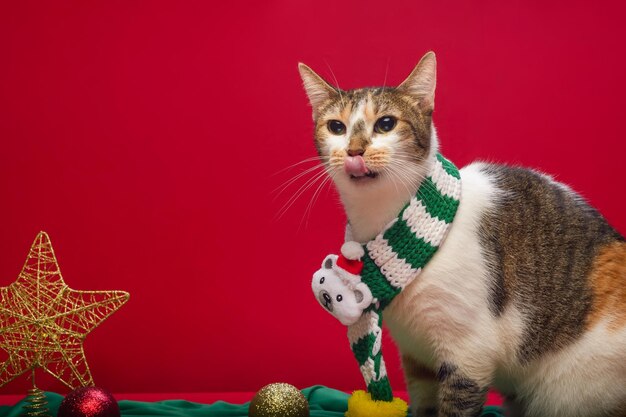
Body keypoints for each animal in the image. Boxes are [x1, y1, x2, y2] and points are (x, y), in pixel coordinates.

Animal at [298, 52, 624, 416]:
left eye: (386, 124)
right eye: (336, 127)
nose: (354, 150)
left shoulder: (469, 352)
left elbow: (457, 403)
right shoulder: (417, 358)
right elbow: (424, 403)